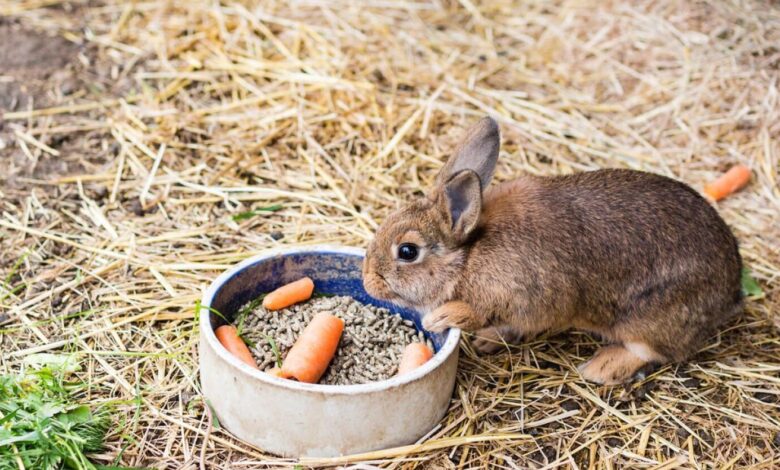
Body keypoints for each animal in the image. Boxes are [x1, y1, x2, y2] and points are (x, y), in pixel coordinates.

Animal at [364, 115, 744, 384]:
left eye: (408, 251)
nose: (368, 281)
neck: (469, 255)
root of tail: (731, 290)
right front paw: (487, 339)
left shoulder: (525, 296)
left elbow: (479, 311)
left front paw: (443, 317)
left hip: (649, 320)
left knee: (654, 351)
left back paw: (601, 368)